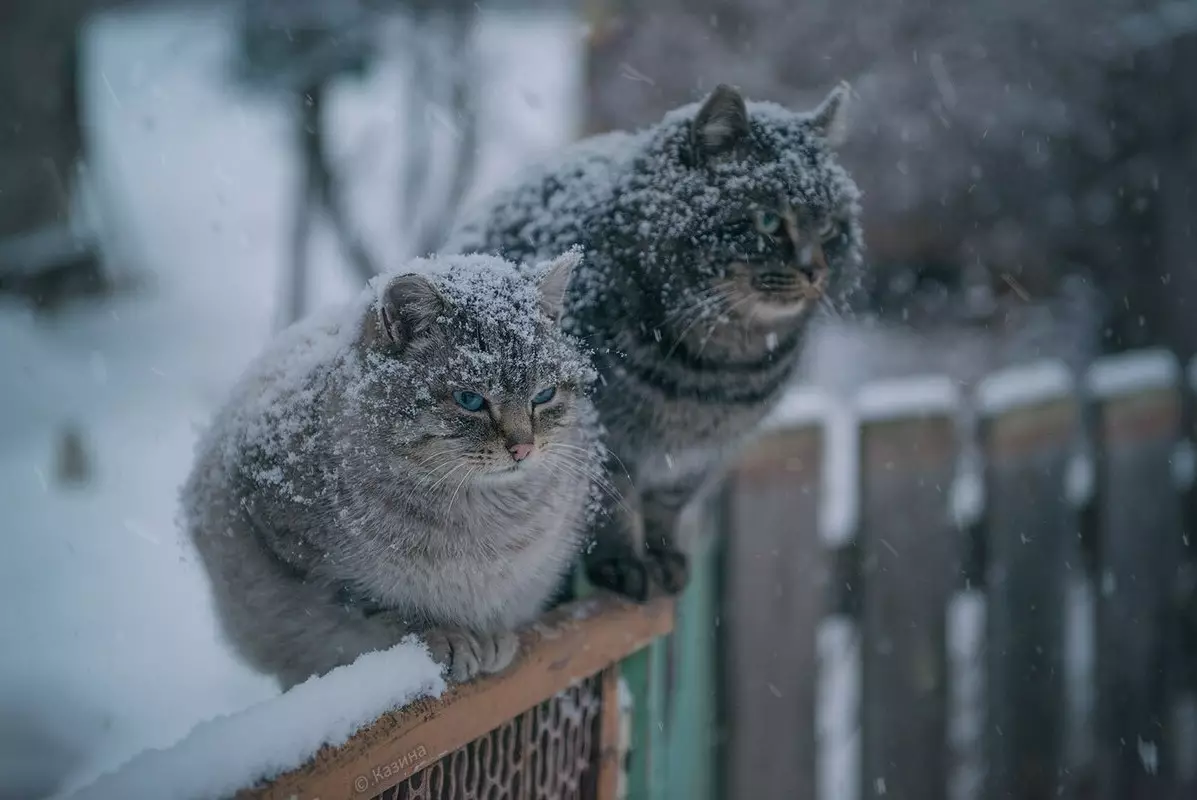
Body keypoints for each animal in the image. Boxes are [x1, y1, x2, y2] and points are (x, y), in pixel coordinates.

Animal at [180, 250, 603, 689]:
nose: (523, 448)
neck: (480, 518)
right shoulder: (306, 559)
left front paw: (487, 637)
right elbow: (383, 610)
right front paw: (449, 636)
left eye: (544, 395)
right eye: (470, 400)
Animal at [447, 84, 861, 603]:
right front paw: (624, 565)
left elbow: (667, 507)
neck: (721, 370)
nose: (815, 270)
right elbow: (615, 505)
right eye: (768, 220)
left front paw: (664, 558)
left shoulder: (698, 458)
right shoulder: (606, 439)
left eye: (828, 227)